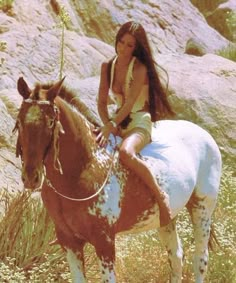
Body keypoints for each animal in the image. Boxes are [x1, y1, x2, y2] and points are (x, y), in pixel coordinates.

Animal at [14, 76, 221, 282]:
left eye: (50, 122)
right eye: (20, 121)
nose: (31, 176)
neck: (85, 167)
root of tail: (204, 135)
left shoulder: (104, 242)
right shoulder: (69, 241)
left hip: (202, 209)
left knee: (200, 259)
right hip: (168, 219)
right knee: (176, 256)